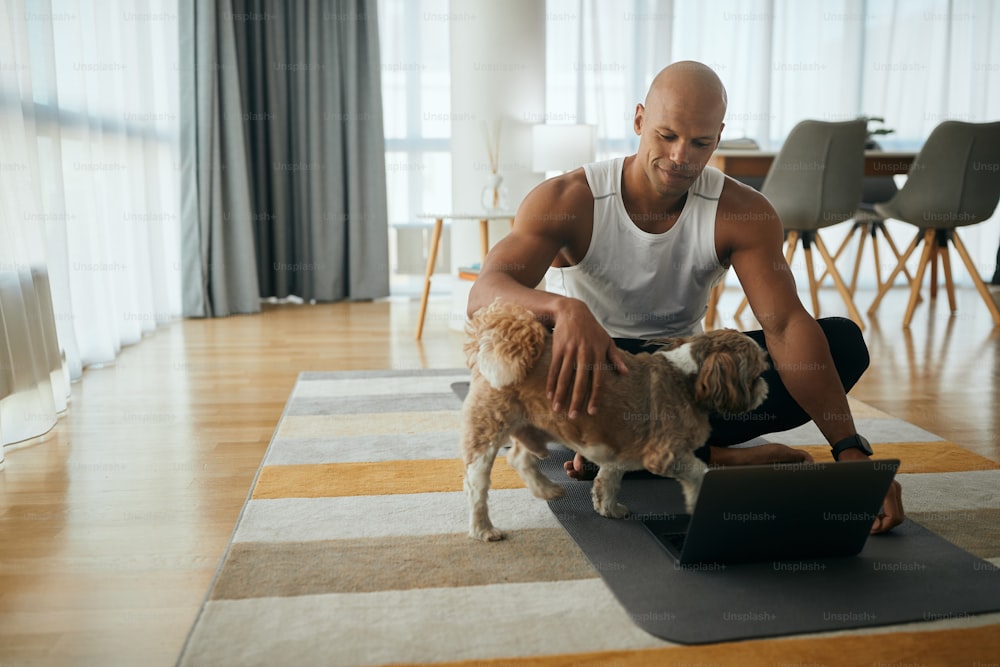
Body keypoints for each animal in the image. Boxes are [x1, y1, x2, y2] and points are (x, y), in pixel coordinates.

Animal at [462, 302, 772, 544]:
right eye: (756, 374)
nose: (764, 388)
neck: (687, 376)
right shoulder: (666, 454)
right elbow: (698, 471)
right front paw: (698, 500)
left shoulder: (618, 449)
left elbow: (609, 480)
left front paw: (608, 507)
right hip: (491, 424)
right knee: (477, 482)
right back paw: (483, 528)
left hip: (542, 422)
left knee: (520, 458)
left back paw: (547, 489)